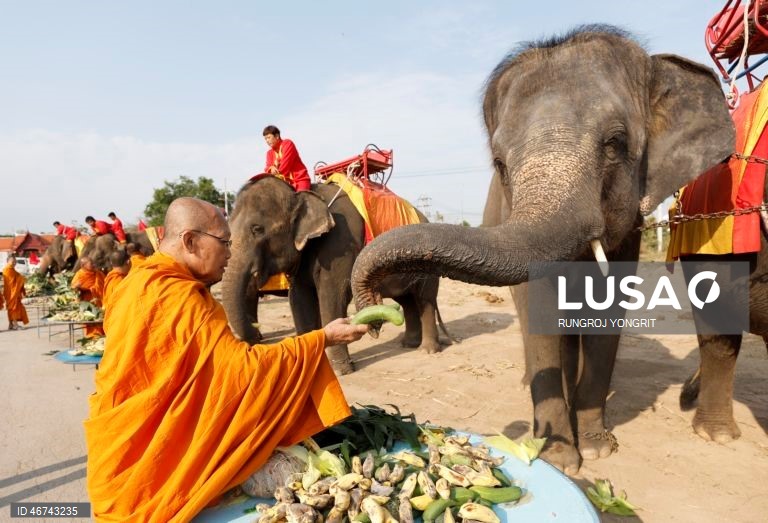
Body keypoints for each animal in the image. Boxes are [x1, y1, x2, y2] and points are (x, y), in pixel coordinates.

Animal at [220, 175, 451, 375]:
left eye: (257, 229)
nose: (255, 331)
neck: (301, 193)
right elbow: (299, 299)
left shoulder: (340, 245)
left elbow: (332, 296)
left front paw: (341, 370)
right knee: (406, 300)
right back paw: (408, 344)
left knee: (423, 300)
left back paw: (427, 350)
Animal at [350, 26, 735, 474]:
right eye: (499, 163)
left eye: (615, 143)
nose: (373, 315)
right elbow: (539, 309)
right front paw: (560, 459)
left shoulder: (630, 234)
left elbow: (608, 309)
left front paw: (596, 449)